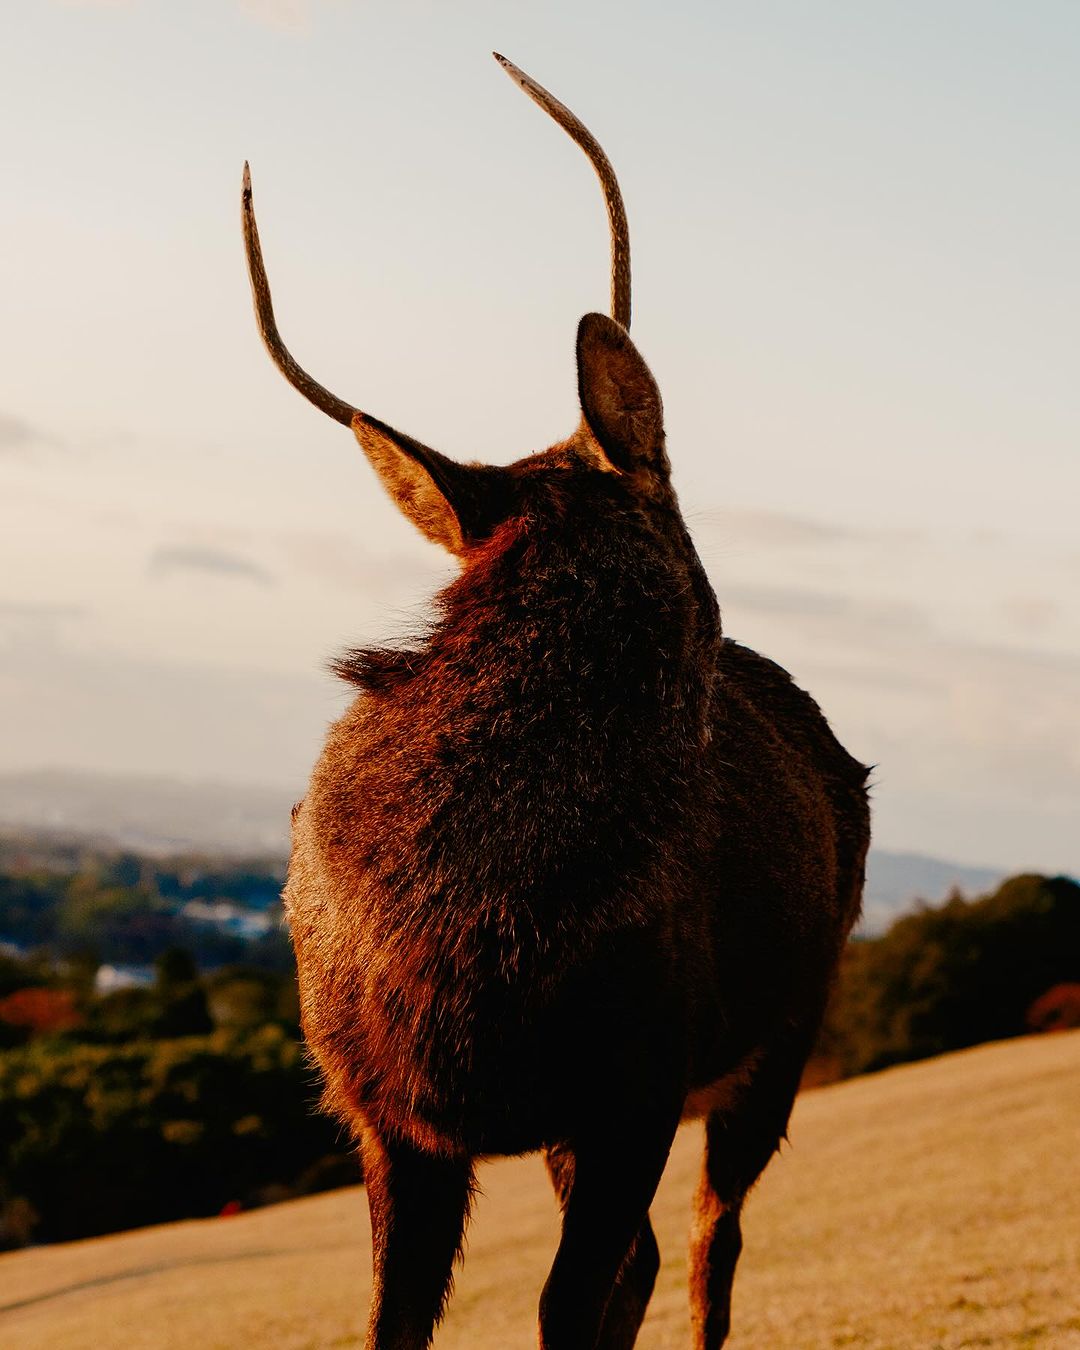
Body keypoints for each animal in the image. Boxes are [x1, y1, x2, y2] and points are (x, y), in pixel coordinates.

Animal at [241, 52, 870, 1350]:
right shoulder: (390, 1117)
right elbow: (396, 1320)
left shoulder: (636, 1081)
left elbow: (571, 1301)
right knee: (664, 1253)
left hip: (786, 1022)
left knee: (708, 1242)